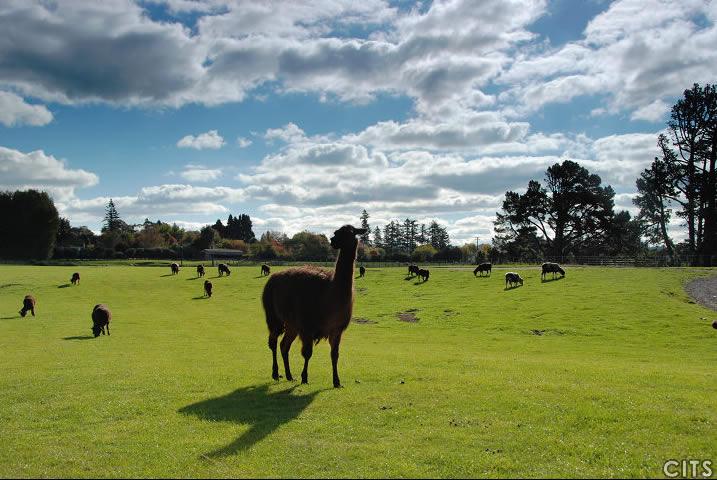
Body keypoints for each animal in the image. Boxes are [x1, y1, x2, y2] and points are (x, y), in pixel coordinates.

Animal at [260, 224, 366, 386]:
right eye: (336, 232)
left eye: (350, 232)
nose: (332, 240)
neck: (330, 295)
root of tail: (272, 278)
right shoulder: (307, 326)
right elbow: (307, 353)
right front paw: (304, 377)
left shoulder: (336, 329)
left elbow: (335, 355)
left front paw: (337, 381)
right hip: (274, 315)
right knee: (273, 342)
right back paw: (276, 373)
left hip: (292, 323)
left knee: (284, 345)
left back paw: (289, 375)